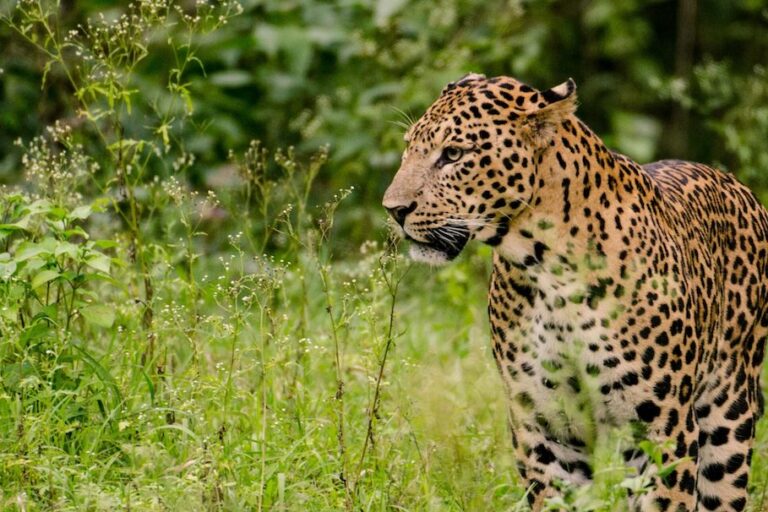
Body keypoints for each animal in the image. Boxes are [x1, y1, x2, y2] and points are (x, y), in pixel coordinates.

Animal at [382, 73, 768, 511]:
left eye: (452, 154)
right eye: (409, 147)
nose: (393, 209)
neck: (547, 272)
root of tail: (733, 182)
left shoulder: (662, 429)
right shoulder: (545, 429)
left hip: (728, 417)